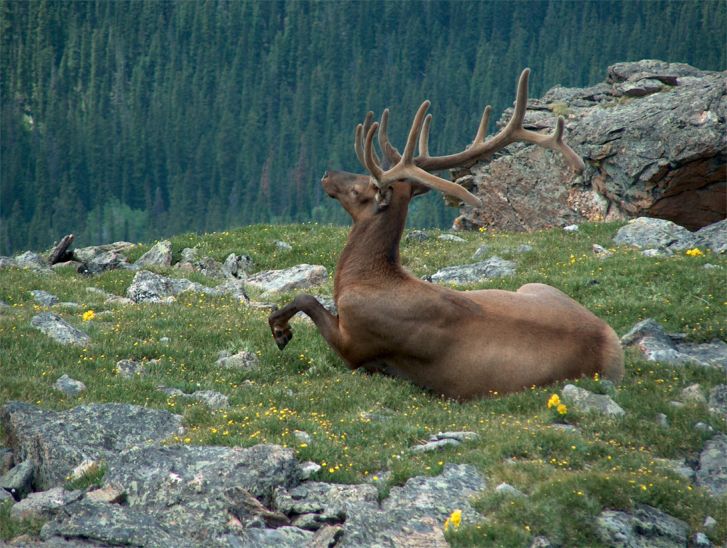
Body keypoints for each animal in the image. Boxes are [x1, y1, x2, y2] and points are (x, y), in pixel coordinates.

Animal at [268, 69, 624, 402]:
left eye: (363, 187)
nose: (327, 174)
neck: (363, 280)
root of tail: (613, 349)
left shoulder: (355, 342)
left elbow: (306, 298)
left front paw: (279, 329)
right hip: (535, 287)